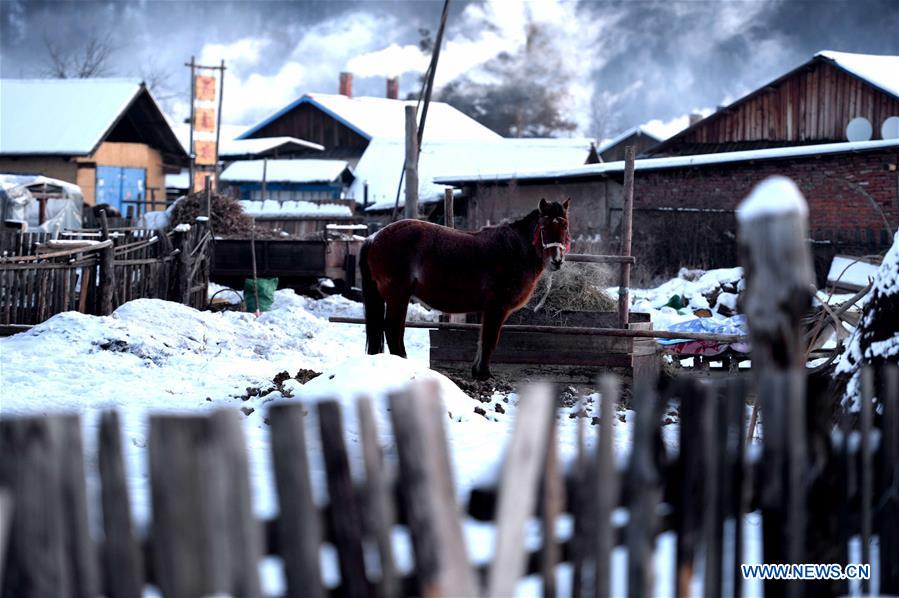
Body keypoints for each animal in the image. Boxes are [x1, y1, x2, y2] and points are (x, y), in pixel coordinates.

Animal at [358, 200, 568, 380]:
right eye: (544, 227)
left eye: (565, 227)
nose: (557, 261)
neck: (514, 250)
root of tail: (374, 237)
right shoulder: (497, 307)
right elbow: (490, 340)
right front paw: (484, 374)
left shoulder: (488, 310)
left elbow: (482, 339)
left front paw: (477, 371)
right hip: (398, 296)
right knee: (393, 330)